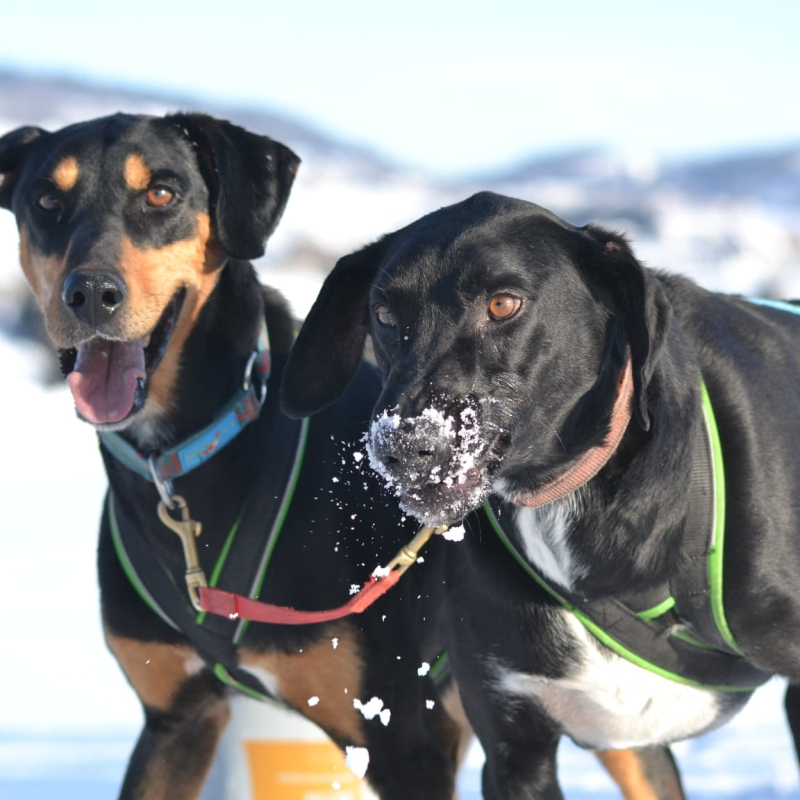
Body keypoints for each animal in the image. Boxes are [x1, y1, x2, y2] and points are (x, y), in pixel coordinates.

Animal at [0, 112, 476, 800]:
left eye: (162, 194)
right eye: (45, 201)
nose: (88, 291)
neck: (186, 457)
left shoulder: (403, 738)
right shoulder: (175, 719)